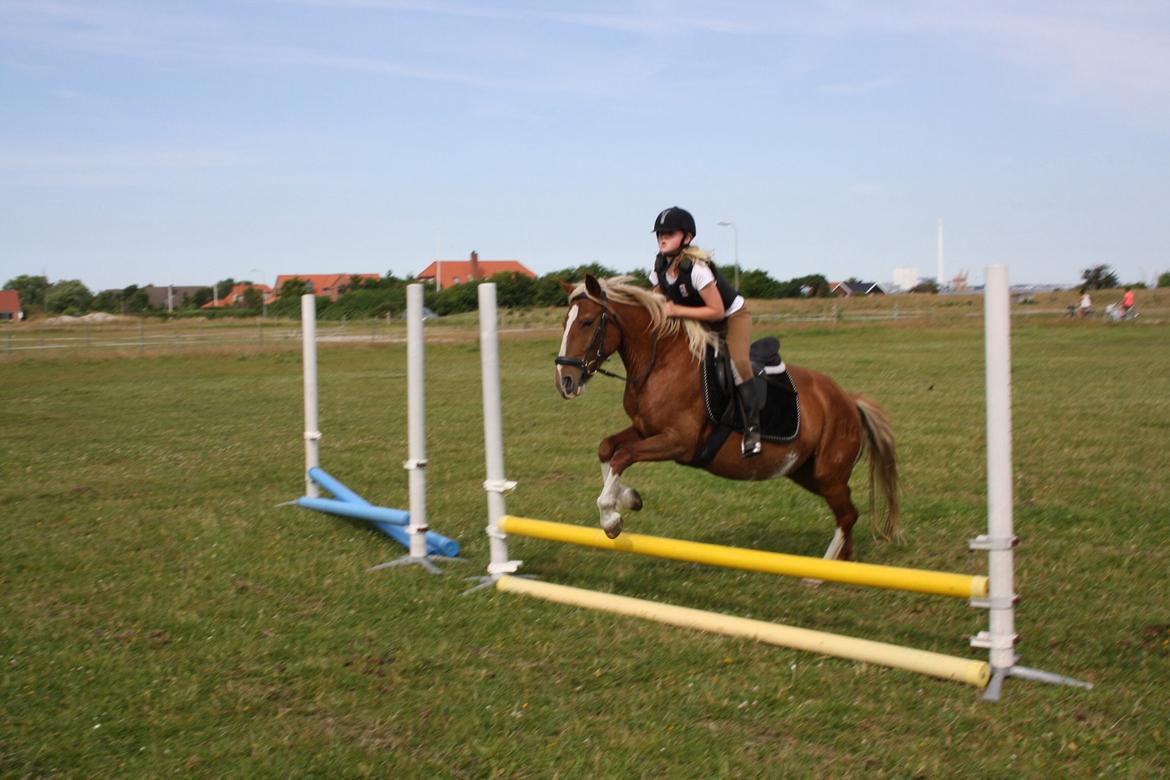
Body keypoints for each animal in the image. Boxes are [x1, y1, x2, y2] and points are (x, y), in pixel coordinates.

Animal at [552, 274, 898, 561]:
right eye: (565, 322)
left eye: (587, 322)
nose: (565, 382)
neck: (660, 363)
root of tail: (848, 401)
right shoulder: (645, 429)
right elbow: (608, 448)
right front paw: (629, 498)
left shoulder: (679, 442)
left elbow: (623, 456)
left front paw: (611, 517)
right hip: (806, 471)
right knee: (847, 512)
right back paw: (841, 564)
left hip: (827, 473)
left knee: (848, 514)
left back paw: (821, 573)